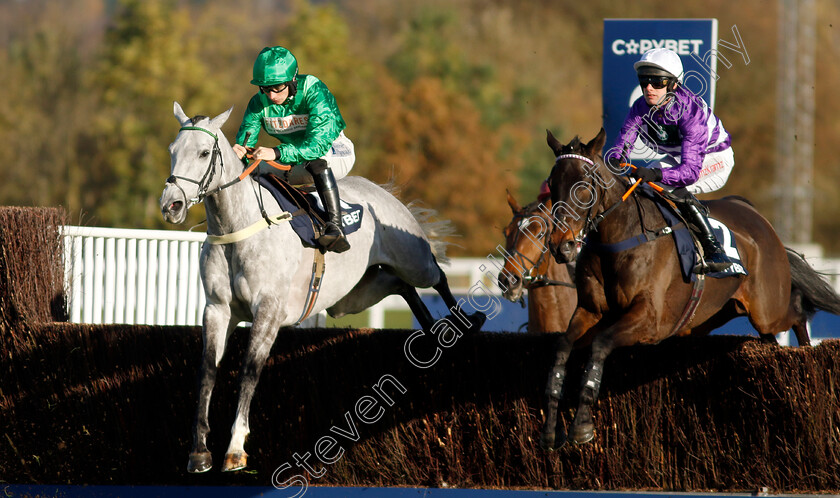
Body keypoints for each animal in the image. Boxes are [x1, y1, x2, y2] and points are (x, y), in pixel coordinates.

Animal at [162, 103, 486, 472]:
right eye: (172, 151)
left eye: (204, 153)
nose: (170, 205)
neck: (238, 227)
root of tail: (382, 192)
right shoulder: (217, 309)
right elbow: (207, 372)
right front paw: (199, 452)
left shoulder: (269, 310)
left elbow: (249, 371)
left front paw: (234, 449)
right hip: (351, 297)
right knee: (399, 285)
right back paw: (432, 328)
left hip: (412, 258)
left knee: (436, 276)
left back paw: (465, 322)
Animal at [540, 126, 840, 450]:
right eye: (553, 184)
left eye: (584, 183)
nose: (561, 246)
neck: (620, 238)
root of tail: (758, 218)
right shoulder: (591, 311)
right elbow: (561, 348)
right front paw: (550, 428)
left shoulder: (649, 320)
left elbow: (600, 345)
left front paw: (582, 426)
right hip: (719, 313)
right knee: (769, 339)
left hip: (767, 309)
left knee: (796, 311)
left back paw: (806, 355)